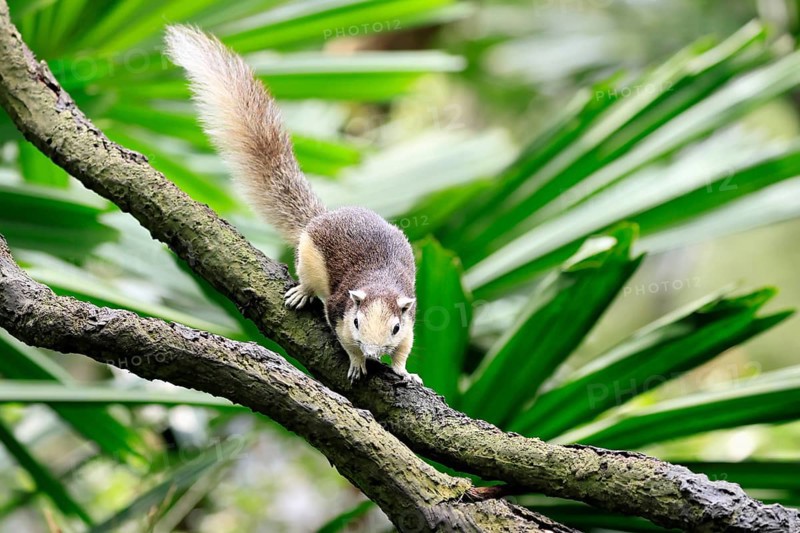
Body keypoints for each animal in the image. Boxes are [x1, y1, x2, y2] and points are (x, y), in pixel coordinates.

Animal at [165, 26, 421, 385]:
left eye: (394, 327)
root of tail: (323, 216)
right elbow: (346, 342)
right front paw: (358, 362)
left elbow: (403, 351)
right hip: (309, 261)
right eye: (357, 322)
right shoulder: (339, 313)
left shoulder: (410, 322)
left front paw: (404, 372)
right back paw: (302, 293)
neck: (379, 282)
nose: (373, 353)